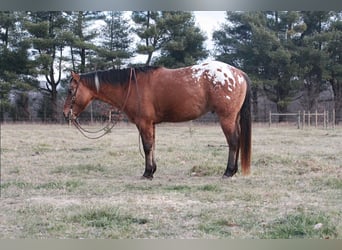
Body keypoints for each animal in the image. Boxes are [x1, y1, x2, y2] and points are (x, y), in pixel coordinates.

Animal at [64, 61, 251, 179]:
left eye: (70, 90)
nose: (66, 113)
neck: (131, 86)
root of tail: (239, 73)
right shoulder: (151, 125)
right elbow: (152, 146)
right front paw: (153, 170)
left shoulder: (144, 124)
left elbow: (147, 147)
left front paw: (147, 173)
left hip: (226, 118)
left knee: (233, 142)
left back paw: (228, 172)